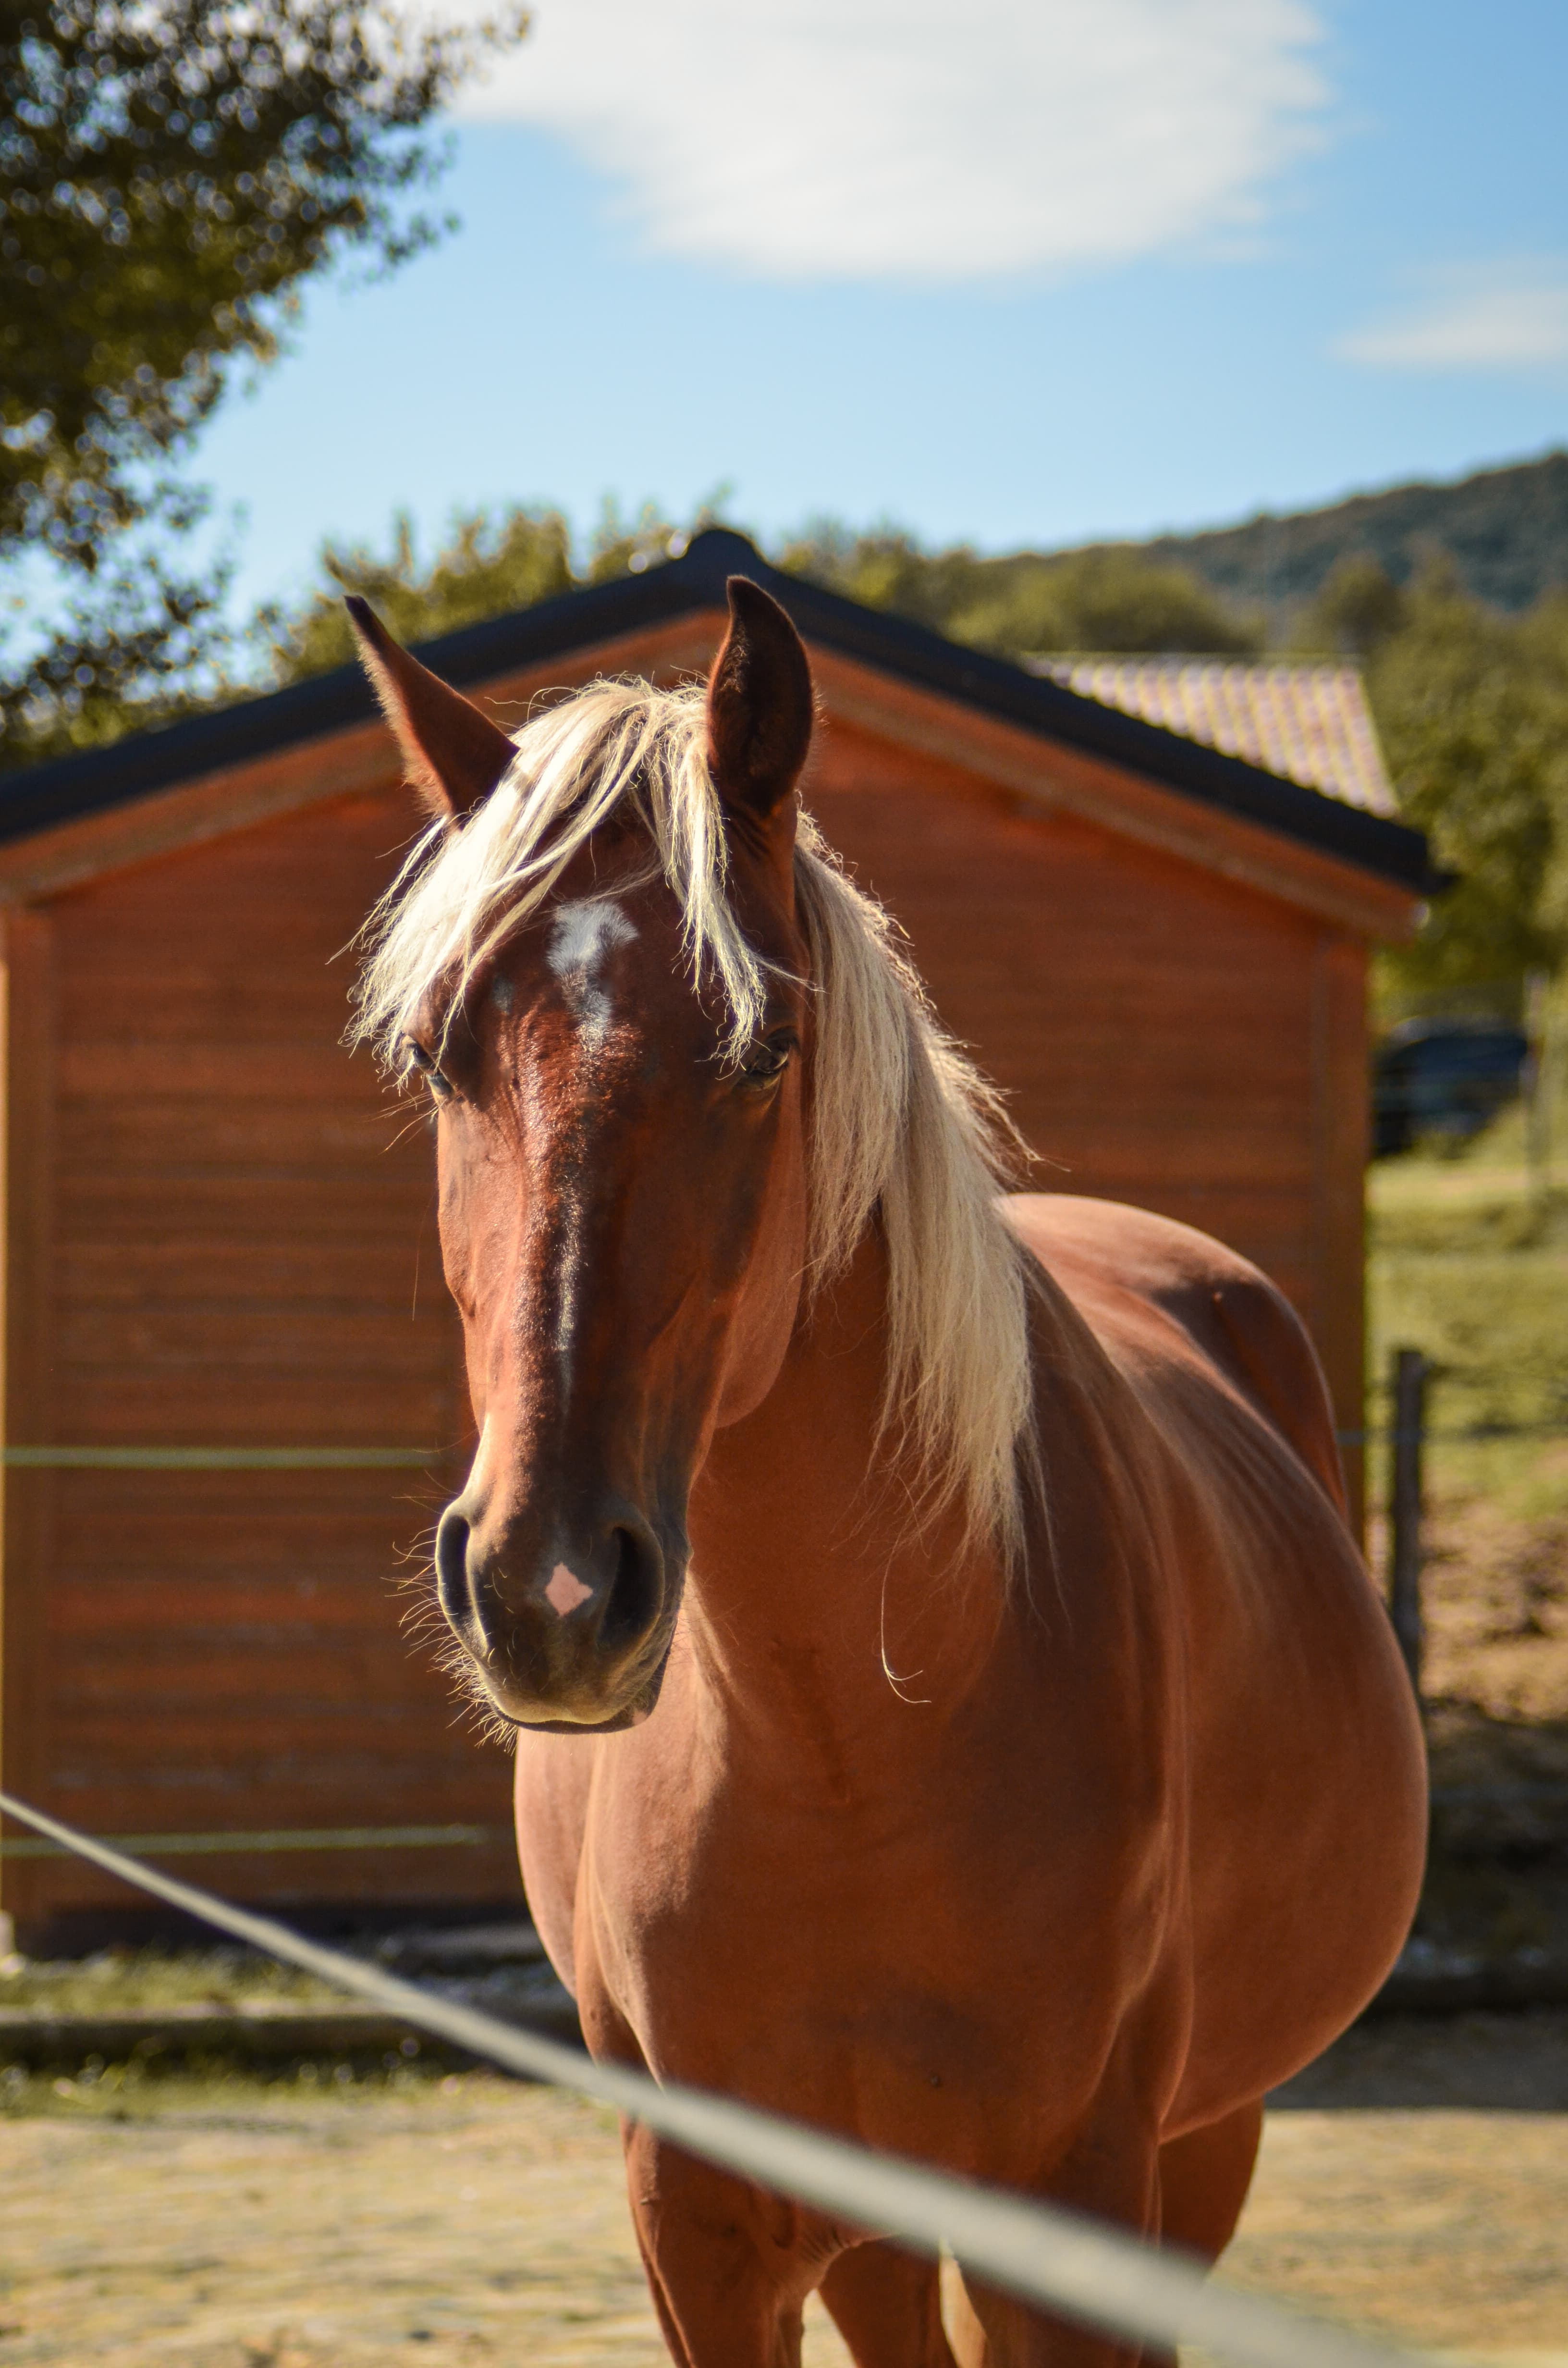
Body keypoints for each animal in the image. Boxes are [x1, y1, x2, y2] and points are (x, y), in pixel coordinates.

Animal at [345, 576, 1427, 2368]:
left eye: (763, 1049)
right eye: (442, 1055)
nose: (547, 1588)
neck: (842, 1741)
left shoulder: (1072, 2212)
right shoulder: (699, 2226)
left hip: (1200, 2147)